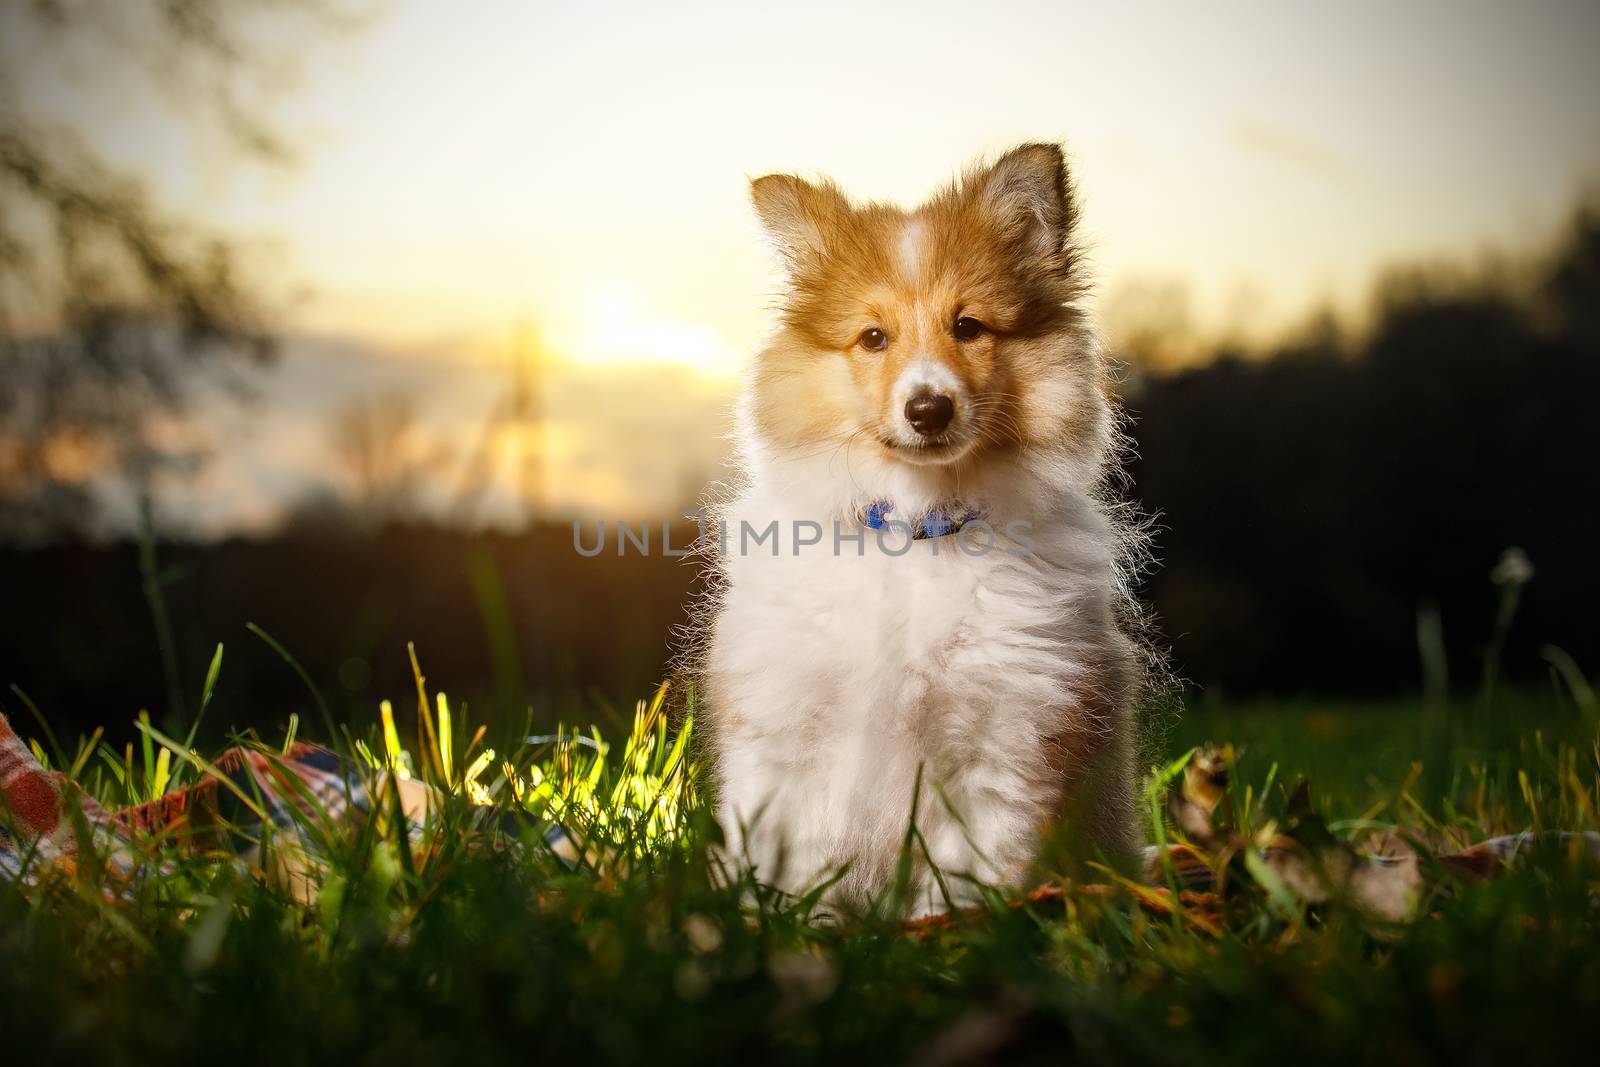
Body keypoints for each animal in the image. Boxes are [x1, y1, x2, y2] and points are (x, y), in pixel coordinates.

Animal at [707, 141, 1145, 921]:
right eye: (872, 337)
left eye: (968, 327)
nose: (929, 408)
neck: (916, 530)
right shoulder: (786, 736)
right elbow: (790, 863)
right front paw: (794, 926)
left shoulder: (1005, 740)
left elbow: (972, 873)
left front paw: (954, 930)